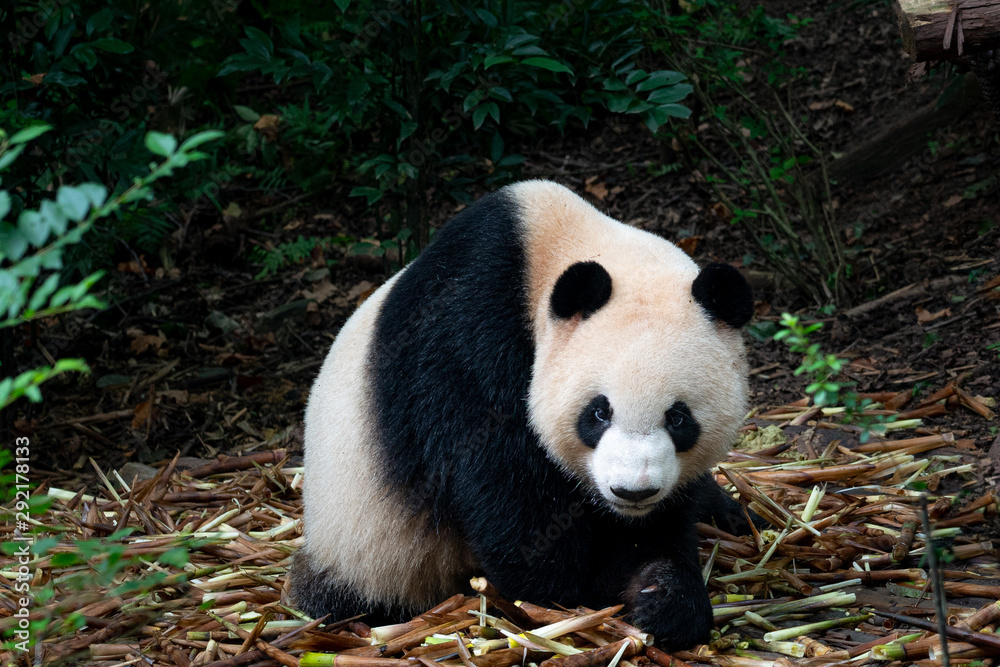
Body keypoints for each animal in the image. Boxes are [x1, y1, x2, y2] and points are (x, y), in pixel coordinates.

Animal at [290, 180, 755, 650]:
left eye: (678, 418)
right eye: (598, 412)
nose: (632, 491)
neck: (549, 246)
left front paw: (664, 595)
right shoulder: (466, 338)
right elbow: (507, 491)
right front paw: (587, 584)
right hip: (369, 546)